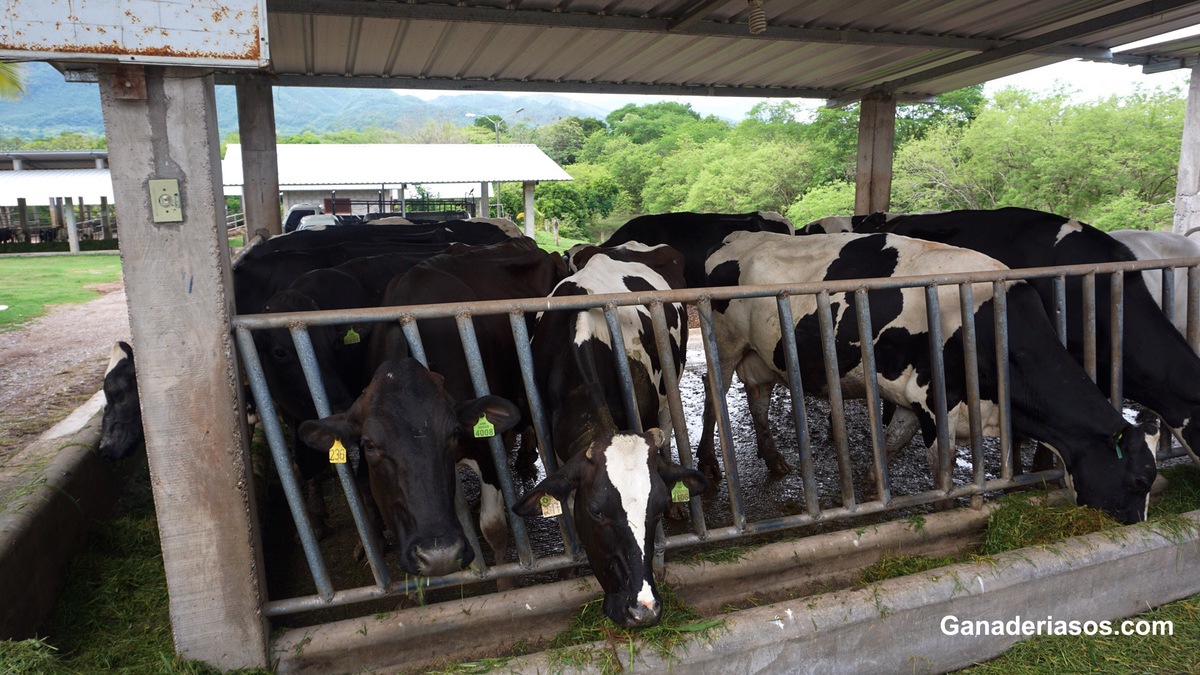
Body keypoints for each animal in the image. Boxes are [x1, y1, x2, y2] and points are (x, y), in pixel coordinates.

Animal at [705, 228, 1156, 523]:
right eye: (1138, 479)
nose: (1137, 523)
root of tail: (737, 237)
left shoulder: (914, 400)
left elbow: (893, 444)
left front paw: (870, 489)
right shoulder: (935, 398)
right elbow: (944, 469)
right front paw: (944, 512)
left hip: (761, 355)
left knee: (758, 398)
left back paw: (776, 460)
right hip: (724, 346)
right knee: (715, 399)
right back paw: (711, 465)